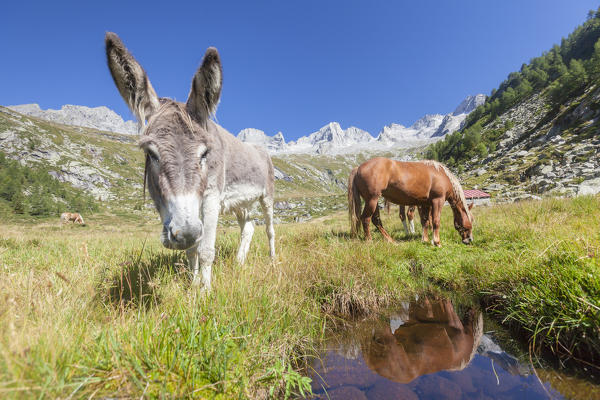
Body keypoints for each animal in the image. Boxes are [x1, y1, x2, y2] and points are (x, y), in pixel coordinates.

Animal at [346, 158, 474, 245]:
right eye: (471, 220)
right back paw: (369, 240)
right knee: (366, 219)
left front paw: (425, 240)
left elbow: (425, 221)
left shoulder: (425, 204)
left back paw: (391, 240)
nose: (469, 240)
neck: (442, 175)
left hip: (374, 201)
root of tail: (357, 168)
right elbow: (436, 221)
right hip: (372, 200)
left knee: (376, 220)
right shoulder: (438, 200)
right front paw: (437, 242)